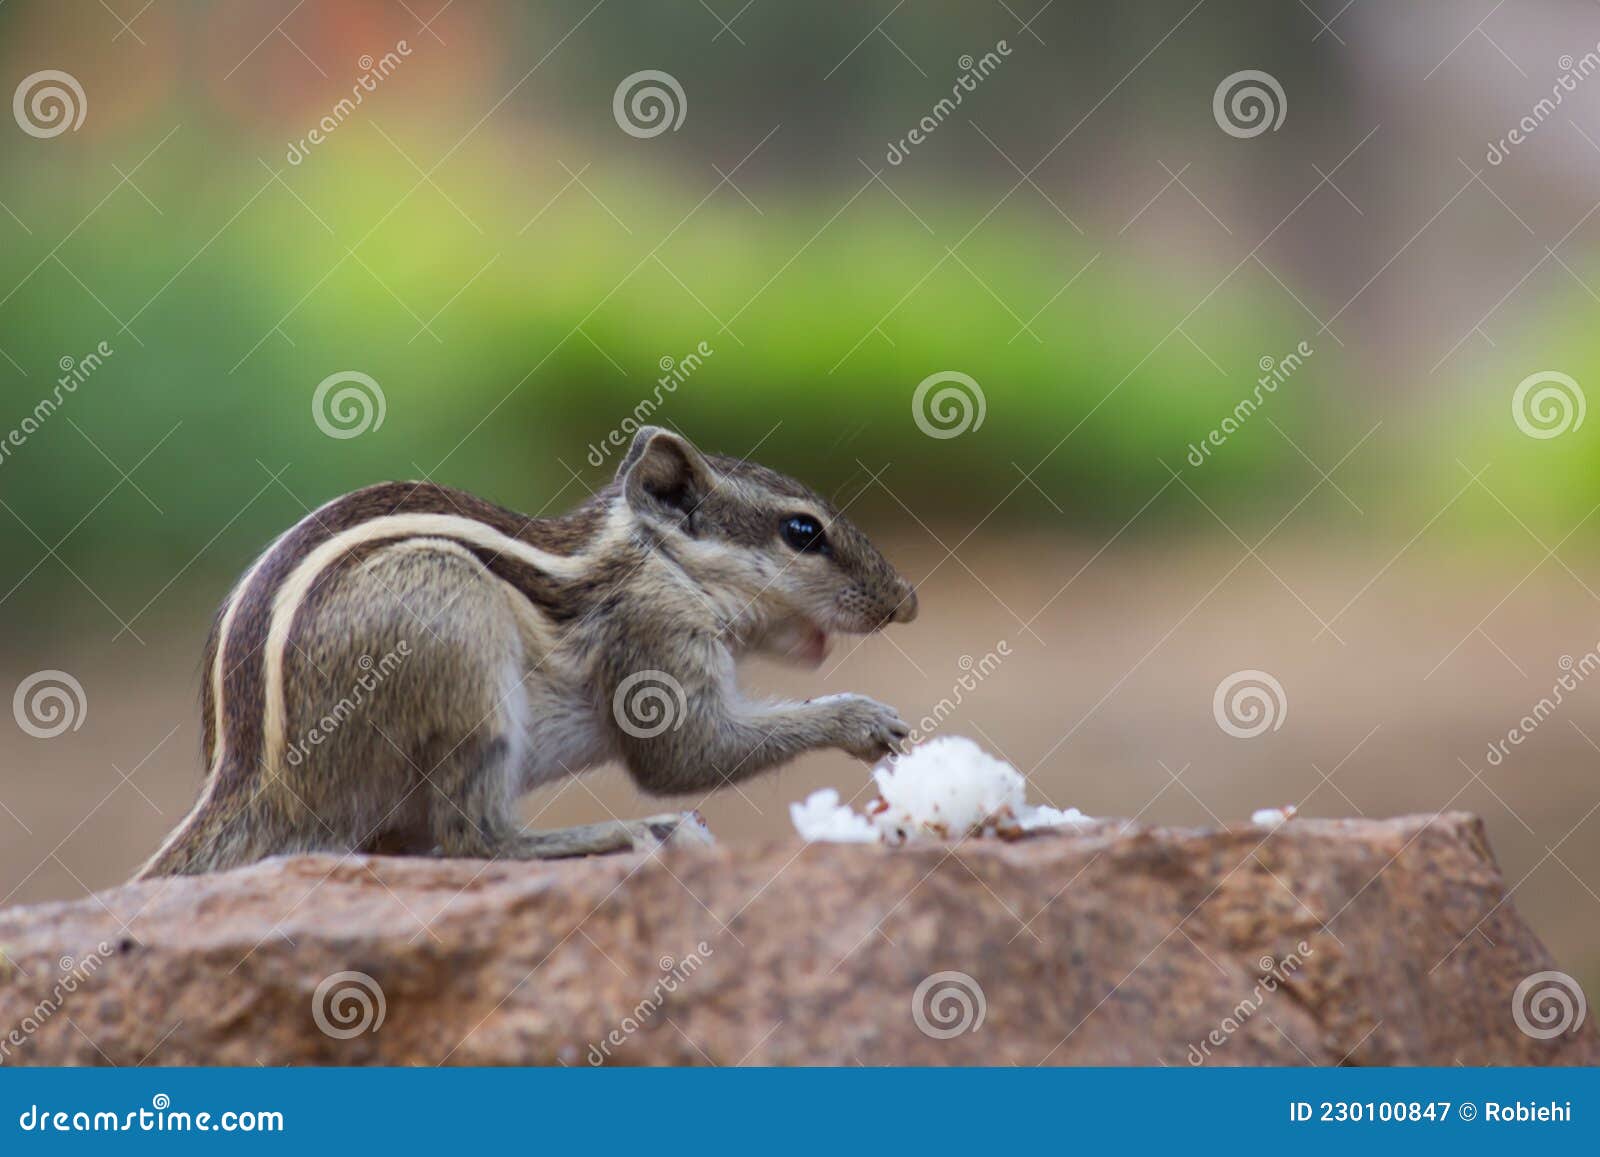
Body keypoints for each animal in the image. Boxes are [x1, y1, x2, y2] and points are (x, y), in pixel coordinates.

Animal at [136, 427, 917, 879]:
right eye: (803, 532)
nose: (906, 600)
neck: (660, 559)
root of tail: (251, 784)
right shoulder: (653, 636)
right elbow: (684, 755)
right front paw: (861, 717)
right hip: (458, 631)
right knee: (473, 839)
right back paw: (627, 832)